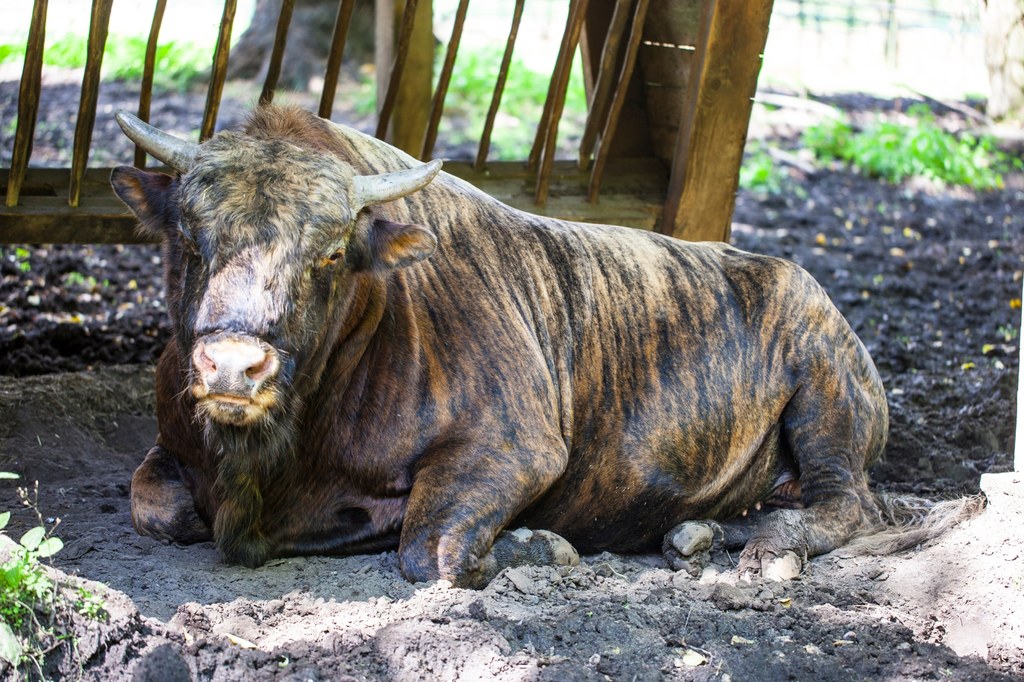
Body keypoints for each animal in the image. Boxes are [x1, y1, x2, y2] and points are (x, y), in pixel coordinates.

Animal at [112, 103, 892, 585]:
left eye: (329, 254)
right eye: (190, 238)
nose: (232, 368)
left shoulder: (512, 449)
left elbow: (433, 552)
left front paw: (537, 545)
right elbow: (154, 508)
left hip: (827, 406)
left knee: (849, 505)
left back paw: (765, 549)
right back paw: (696, 532)